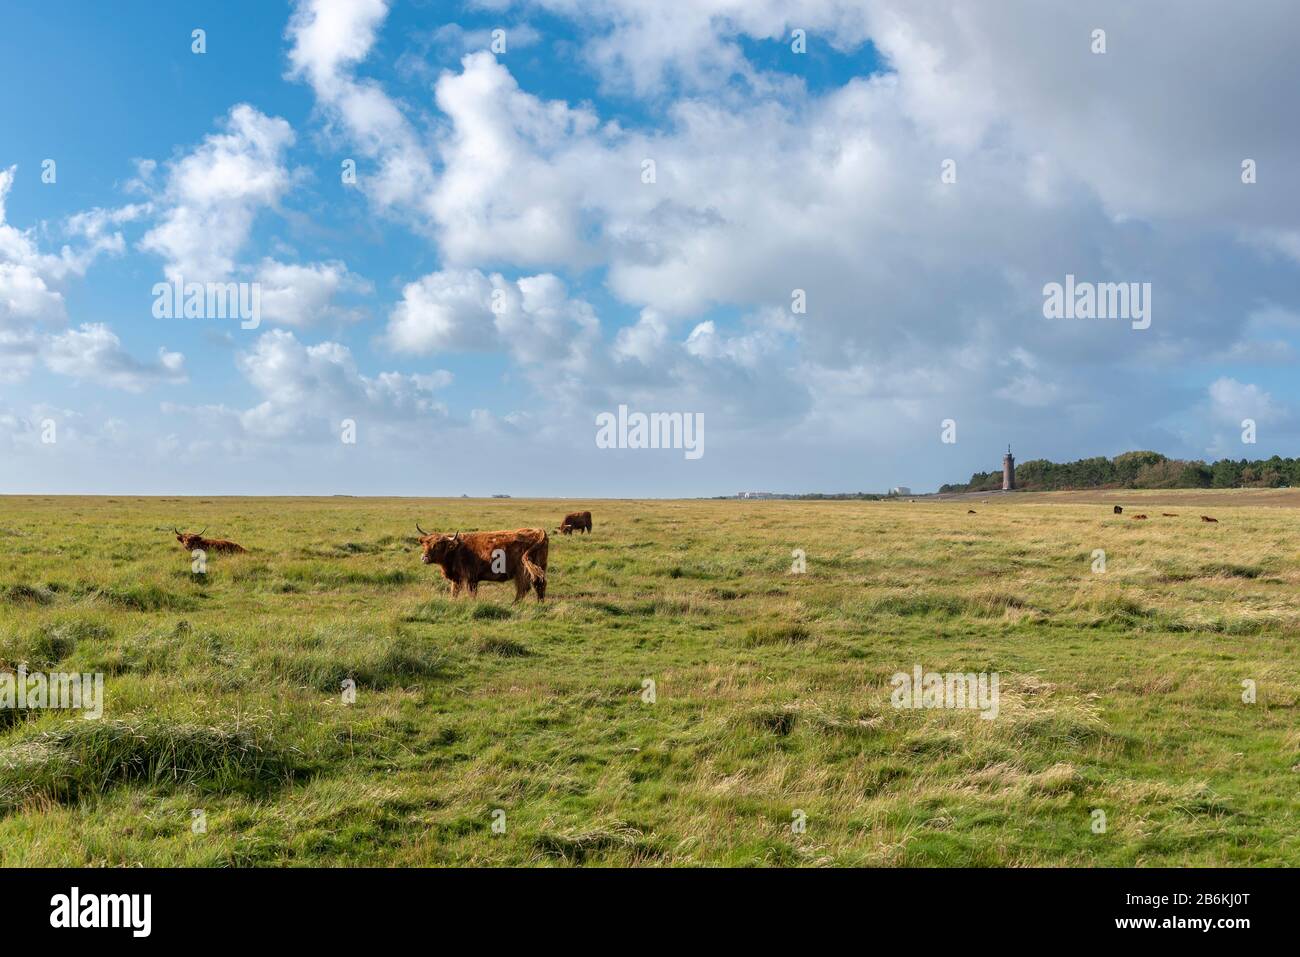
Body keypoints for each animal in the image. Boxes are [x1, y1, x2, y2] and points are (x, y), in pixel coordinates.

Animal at [416, 527, 548, 600]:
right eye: (425, 544)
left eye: (438, 545)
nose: (424, 557)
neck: (456, 550)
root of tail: (538, 531)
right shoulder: (457, 578)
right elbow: (454, 592)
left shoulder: (470, 578)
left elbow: (471, 594)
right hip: (538, 567)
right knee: (539, 584)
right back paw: (540, 604)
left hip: (522, 570)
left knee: (524, 588)